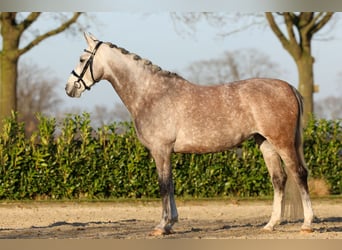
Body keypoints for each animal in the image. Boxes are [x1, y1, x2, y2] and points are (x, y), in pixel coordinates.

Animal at [65, 32, 314, 235]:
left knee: (299, 173)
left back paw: (307, 224)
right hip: (265, 143)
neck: (152, 94)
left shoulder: (161, 150)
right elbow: (171, 184)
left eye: (82, 59)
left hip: (282, 142)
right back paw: (271, 224)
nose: (69, 89)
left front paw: (161, 226)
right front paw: (171, 223)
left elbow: (163, 185)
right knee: (279, 179)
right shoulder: (166, 152)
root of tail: (288, 87)